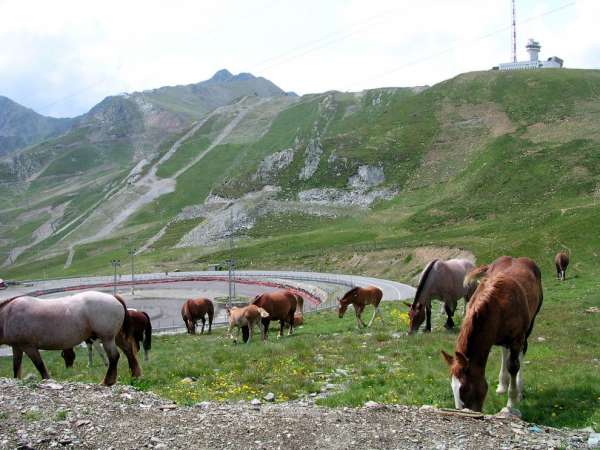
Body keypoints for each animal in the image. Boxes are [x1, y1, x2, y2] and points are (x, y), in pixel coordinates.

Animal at [0, 292, 141, 386]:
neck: (8, 314)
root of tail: (114, 297)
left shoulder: (29, 347)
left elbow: (41, 367)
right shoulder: (17, 347)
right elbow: (16, 368)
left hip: (107, 338)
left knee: (114, 357)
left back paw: (107, 381)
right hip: (116, 337)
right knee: (128, 351)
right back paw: (135, 376)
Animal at [440, 255, 544, 414]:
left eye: (465, 389)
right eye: (453, 388)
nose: (463, 412)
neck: (499, 305)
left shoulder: (517, 338)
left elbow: (514, 365)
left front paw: (512, 402)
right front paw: (504, 386)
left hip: (529, 326)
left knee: (521, 351)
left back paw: (518, 388)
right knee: (504, 351)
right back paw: (502, 385)